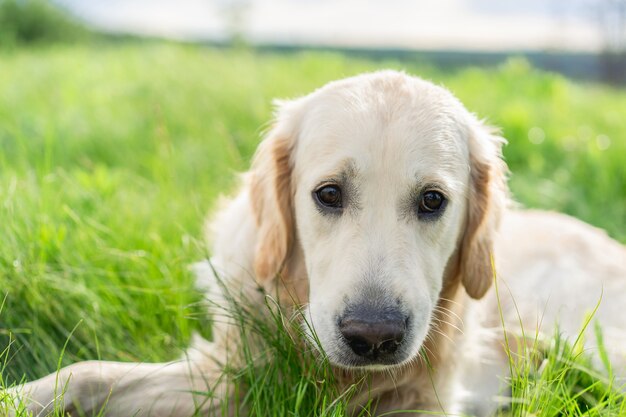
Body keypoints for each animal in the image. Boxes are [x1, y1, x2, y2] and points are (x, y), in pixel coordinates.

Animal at [4, 70, 624, 414]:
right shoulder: (227, 376)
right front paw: (17, 398)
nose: (373, 338)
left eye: (432, 201)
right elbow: (88, 372)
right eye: (328, 194)